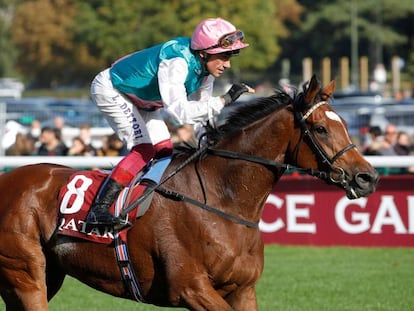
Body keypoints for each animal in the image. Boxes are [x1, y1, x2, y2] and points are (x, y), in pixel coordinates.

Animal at [0, 76, 378, 311]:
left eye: (345, 124)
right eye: (320, 128)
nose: (367, 177)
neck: (222, 200)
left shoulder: (243, 291)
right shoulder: (191, 289)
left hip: (44, 276)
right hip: (25, 273)